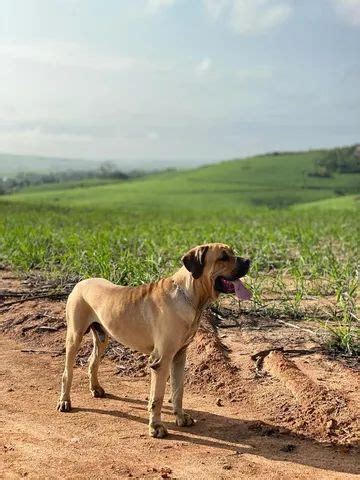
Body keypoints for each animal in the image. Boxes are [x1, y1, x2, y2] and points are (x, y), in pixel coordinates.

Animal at [57, 244, 252, 438]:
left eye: (232, 253)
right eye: (223, 257)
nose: (248, 261)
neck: (189, 296)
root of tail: (81, 283)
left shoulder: (179, 356)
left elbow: (178, 390)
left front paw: (180, 417)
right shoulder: (161, 360)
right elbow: (157, 397)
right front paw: (156, 426)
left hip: (102, 336)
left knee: (92, 361)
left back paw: (95, 388)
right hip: (74, 336)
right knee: (67, 372)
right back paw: (65, 401)